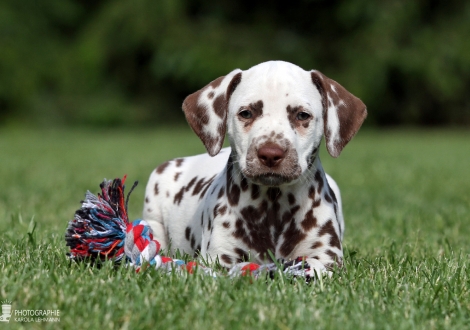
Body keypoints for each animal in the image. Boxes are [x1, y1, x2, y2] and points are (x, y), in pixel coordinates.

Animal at [143, 60, 368, 274]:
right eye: (246, 113)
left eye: (302, 115)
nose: (270, 153)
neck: (273, 208)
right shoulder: (219, 258)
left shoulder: (327, 258)